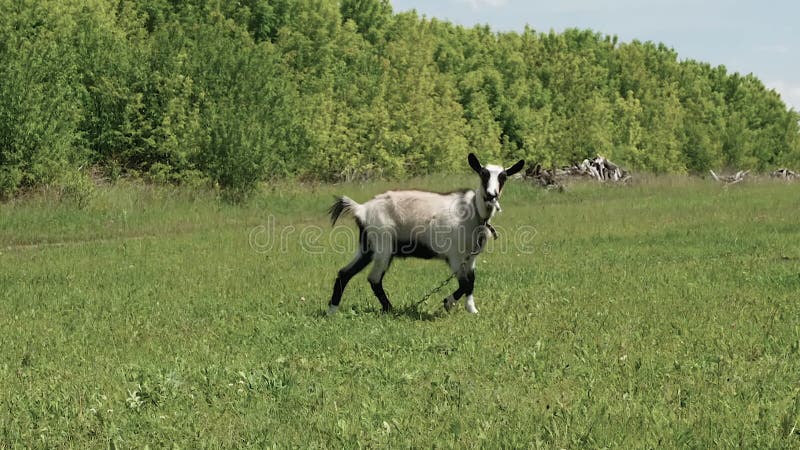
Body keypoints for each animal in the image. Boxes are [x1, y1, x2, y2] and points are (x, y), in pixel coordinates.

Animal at [324, 153, 524, 314]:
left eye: (503, 177)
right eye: (483, 174)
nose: (491, 195)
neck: (473, 212)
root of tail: (361, 209)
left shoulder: (471, 257)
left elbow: (471, 282)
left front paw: (471, 309)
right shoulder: (454, 256)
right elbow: (465, 283)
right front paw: (447, 303)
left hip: (368, 246)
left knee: (345, 273)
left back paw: (332, 310)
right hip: (383, 244)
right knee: (374, 279)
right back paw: (390, 309)